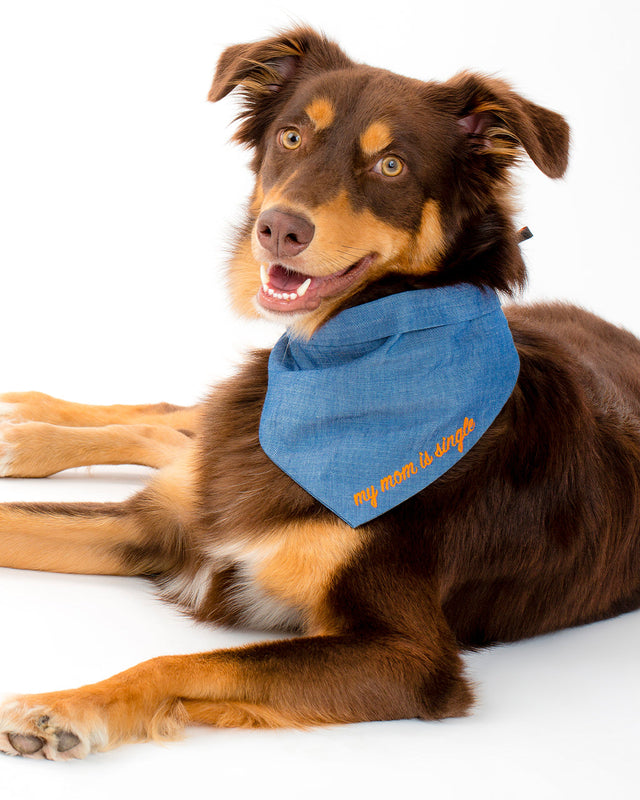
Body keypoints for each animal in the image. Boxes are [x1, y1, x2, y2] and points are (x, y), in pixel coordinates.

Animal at [1, 25, 640, 760]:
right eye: (292, 136)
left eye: (391, 166)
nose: (280, 228)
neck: (337, 357)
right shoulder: (162, 523)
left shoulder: (409, 656)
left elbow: (182, 662)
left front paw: (66, 708)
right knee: (177, 419)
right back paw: (25, 427)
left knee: (176, 429)